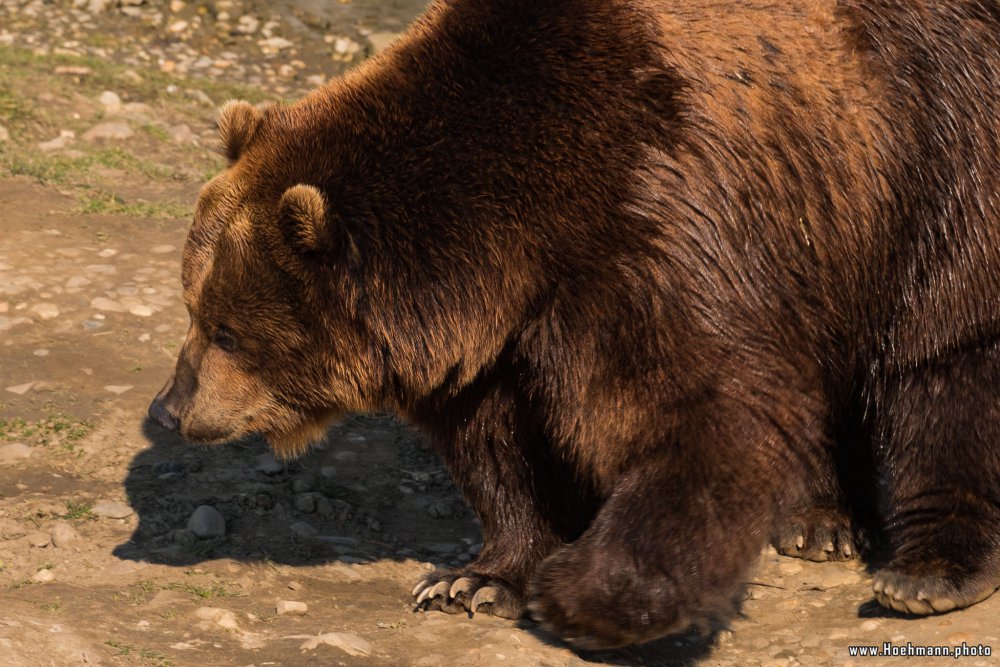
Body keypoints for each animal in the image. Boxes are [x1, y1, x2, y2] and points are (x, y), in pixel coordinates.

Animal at [146, 0, 1000, 652]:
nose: (171, 408)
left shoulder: (658, 217)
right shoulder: (497, 341)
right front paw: (472, 577)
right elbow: (503, 453)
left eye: (226, 329)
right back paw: (819, 519)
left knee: (944, 362)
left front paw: (582, 595)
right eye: (192, 305)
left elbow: (703, 410)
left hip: (929, 150)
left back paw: (928, 570)